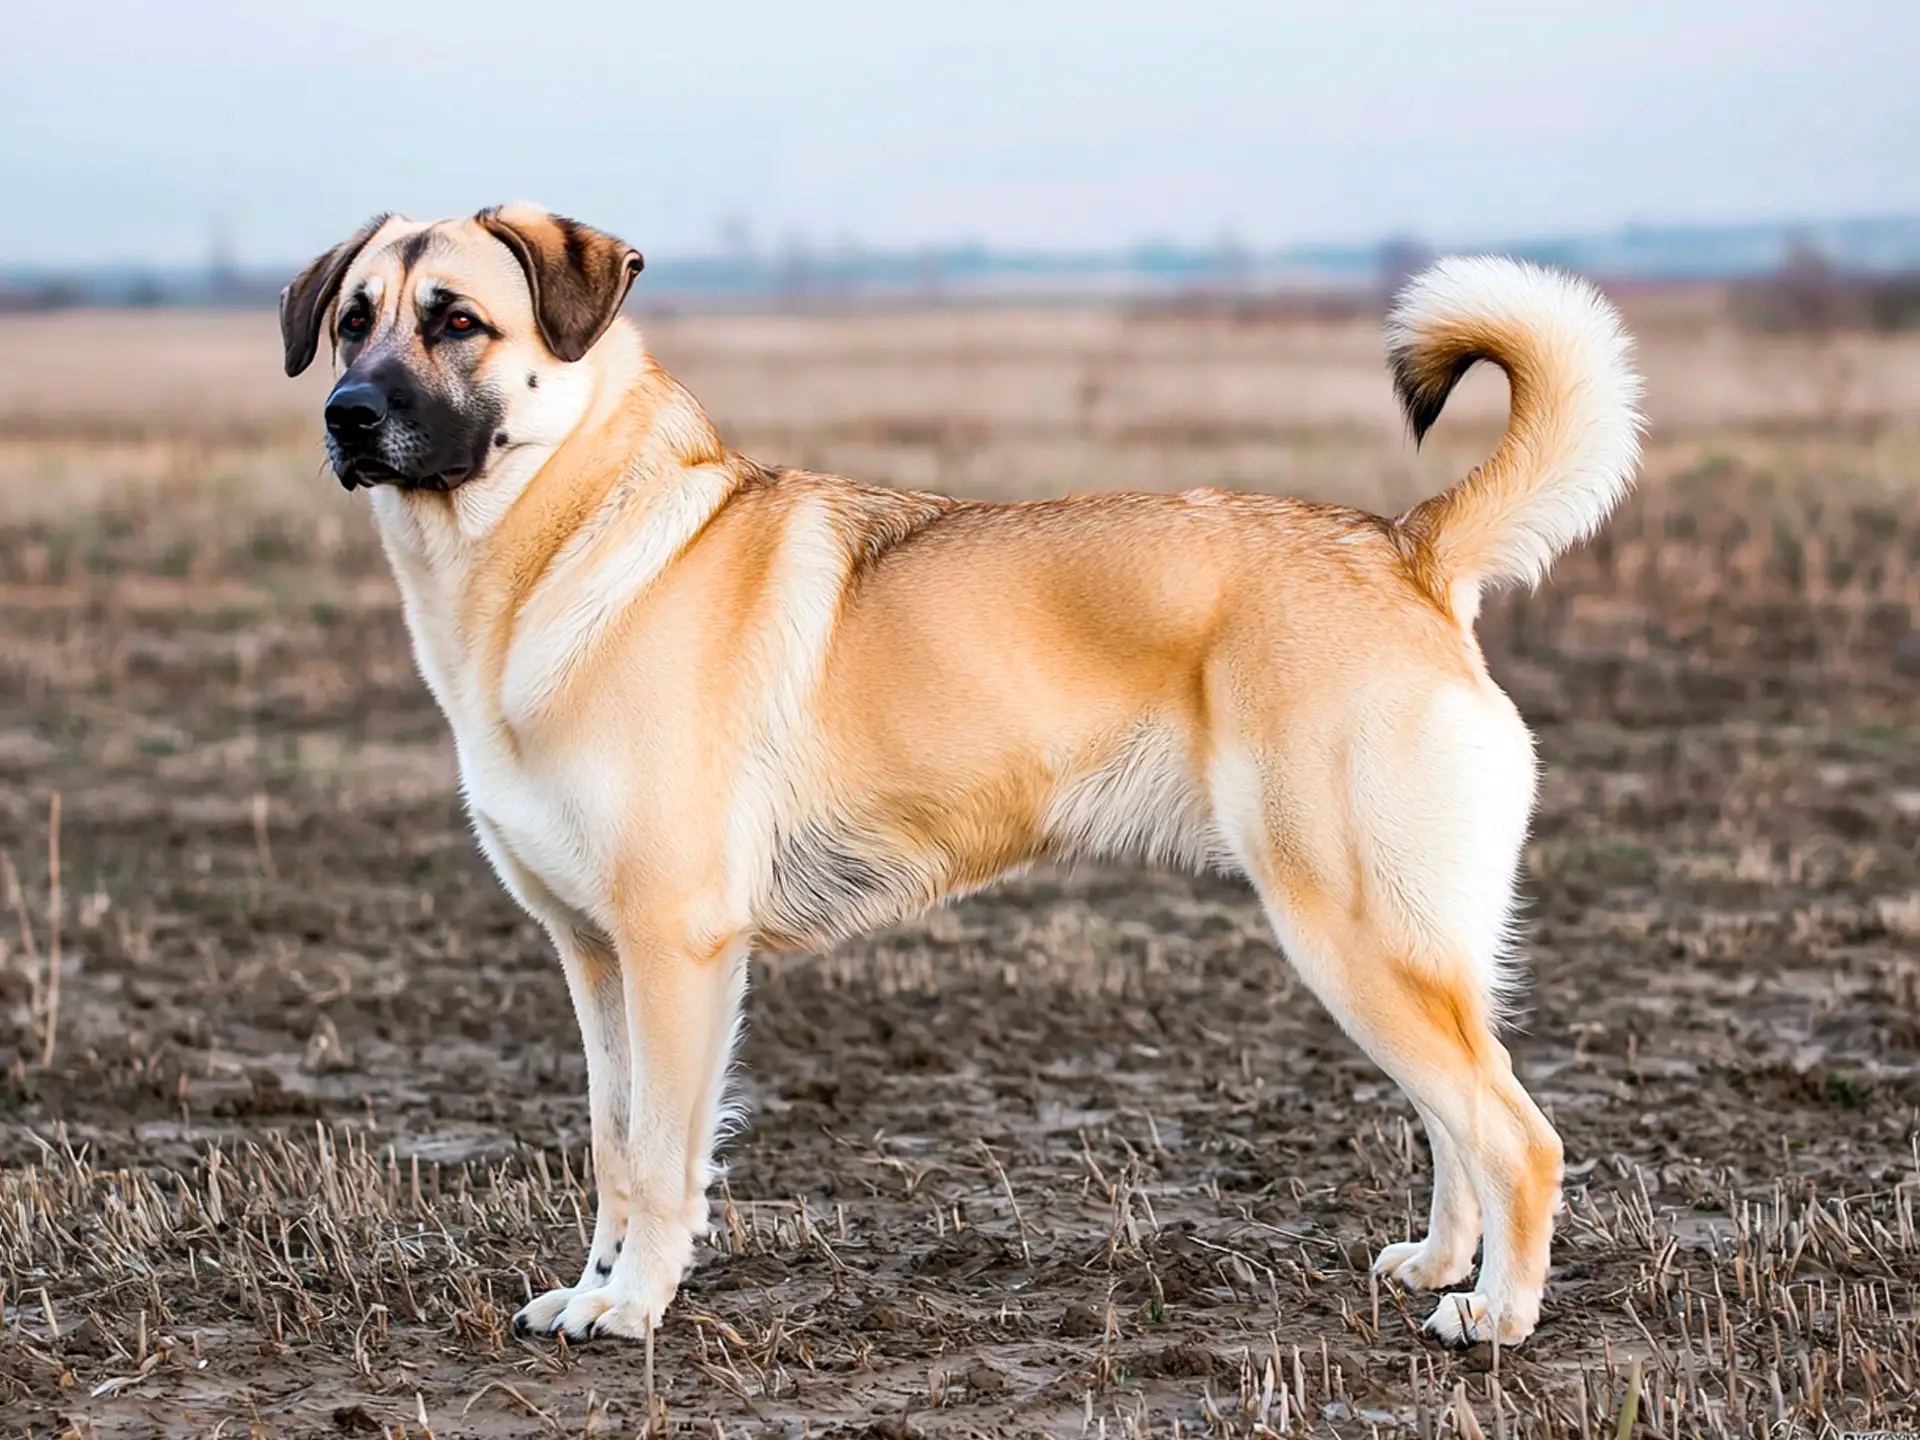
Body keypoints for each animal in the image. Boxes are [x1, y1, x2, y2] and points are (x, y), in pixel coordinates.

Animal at [284, 205, 1651, 1351]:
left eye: (459, 321)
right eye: (353, 318)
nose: (345, 415)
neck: (555, 553)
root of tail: (1406, 549)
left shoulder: (675, 950)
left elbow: (666, 1159)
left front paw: (632, 1311)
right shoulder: (592, 957)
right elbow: (615, 1149)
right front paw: (590, 1288)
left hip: (1355, 933)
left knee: (1518, 1135)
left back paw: (1498, 1317)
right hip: (1405, 944)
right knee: (1457, 1119)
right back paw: (1441, 1264)